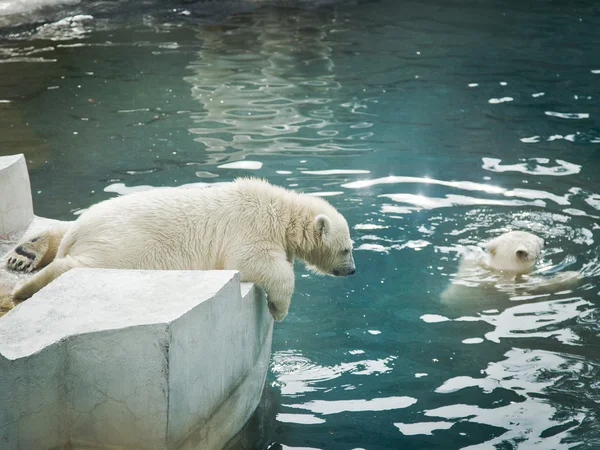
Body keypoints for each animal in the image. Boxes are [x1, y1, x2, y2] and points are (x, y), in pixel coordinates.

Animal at [4, 178, 356, 322]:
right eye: (346, 249)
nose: (353, 270)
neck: (280, 212)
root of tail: (80, 231)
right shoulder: (250, 228)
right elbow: (257, 263)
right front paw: (278, 309)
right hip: (126, 245)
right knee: (80, 264)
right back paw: (24, 288)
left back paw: (29, 250)